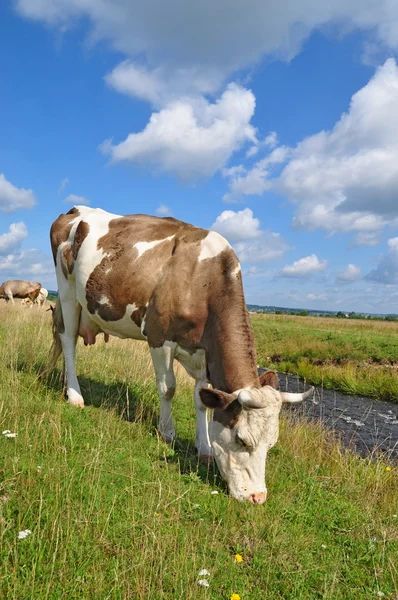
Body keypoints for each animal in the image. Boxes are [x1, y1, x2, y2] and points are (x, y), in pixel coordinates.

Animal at [47, 209, 314, 504]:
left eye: (272, 443)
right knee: (68, 341)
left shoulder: (204, 354)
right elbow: (168, 388)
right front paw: (167, 432)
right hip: (67, 291)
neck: (203, 280)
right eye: (242, 440)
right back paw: (75, 395)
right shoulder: (159, 337)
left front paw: (204, 447)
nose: (258, 497)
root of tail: (74, 210)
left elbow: (201, 401)